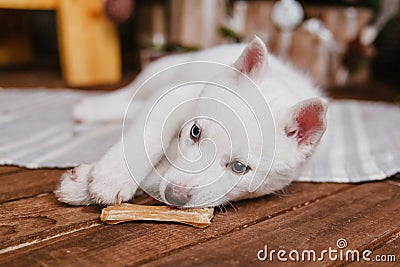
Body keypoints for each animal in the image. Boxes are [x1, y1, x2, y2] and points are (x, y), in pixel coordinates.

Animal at [54, 37, 326, 209]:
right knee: (130, 96)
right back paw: (89, 109)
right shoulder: (176, 95)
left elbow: (158, 173)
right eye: (195, 132)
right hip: (158, 73)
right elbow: (150, 134)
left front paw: (83, 185)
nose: (174, 197)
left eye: (239, 167)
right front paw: (111, 177)